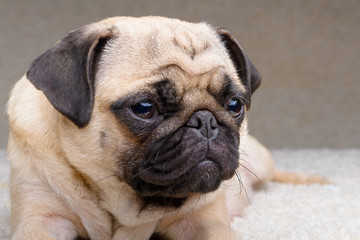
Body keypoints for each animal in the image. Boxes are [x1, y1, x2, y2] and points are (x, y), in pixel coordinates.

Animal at [6, 15, 326, 239]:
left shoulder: (203, 220)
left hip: (261, 160)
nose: (205, 121)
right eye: (144, 108)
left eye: (235, 105)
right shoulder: (41, 219)